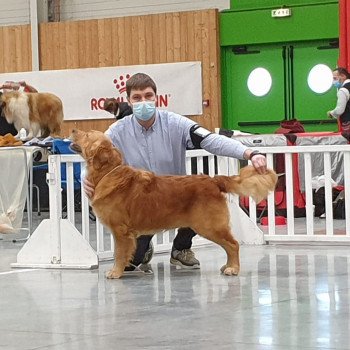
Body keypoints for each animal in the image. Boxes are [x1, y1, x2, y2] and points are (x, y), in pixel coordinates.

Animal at [71, 129, 278, 278]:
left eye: (87, 134)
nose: (73, 129)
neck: (108, 172)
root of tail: (213, 180)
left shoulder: (121, 231)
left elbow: (119, 253)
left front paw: (115, 272)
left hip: (208, 225)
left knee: (233, 244)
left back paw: (233, 268)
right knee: (229, 246)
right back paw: (227, 265)